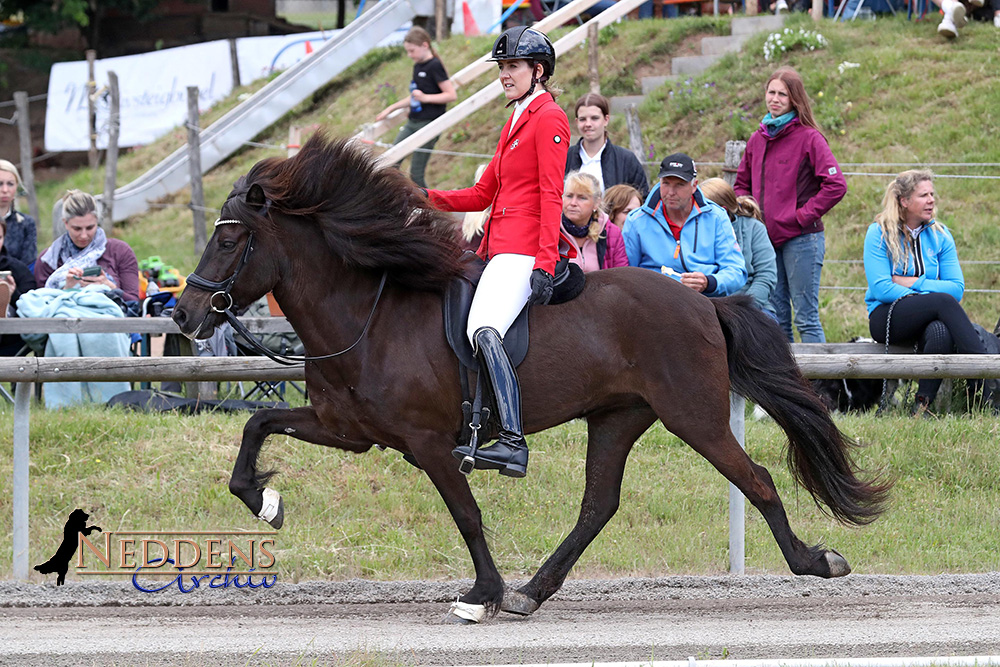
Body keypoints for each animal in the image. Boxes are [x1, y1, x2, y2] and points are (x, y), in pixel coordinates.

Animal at [172, 136, 892, 628]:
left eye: (230, 238)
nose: (182, 313)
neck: (368, 313)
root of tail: (700, 299)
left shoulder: (427, 443)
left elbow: (466, 513)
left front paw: (481, 593)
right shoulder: (347, 428)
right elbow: (256, 424)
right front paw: (265, 502)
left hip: (696, 415)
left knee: (756, 479)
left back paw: (815, 560)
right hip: (617, 416)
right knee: (599, 504)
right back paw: (533, 590)